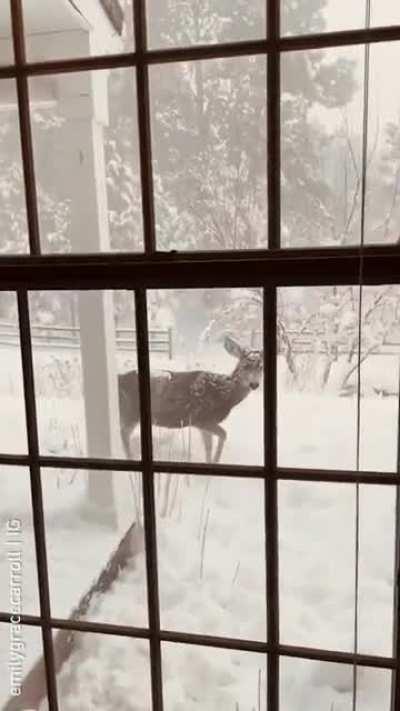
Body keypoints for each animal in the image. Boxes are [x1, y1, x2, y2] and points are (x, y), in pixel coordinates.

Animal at [118, 336, 263, 463]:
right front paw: (216, 460)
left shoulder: (203, 424)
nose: (254, 384)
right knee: (124, 435)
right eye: (245, 366)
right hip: (130, 413)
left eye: (261, 367)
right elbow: (223, 435)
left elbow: (208, 446)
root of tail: (119, 378)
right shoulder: (201, 419)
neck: (225, 393)